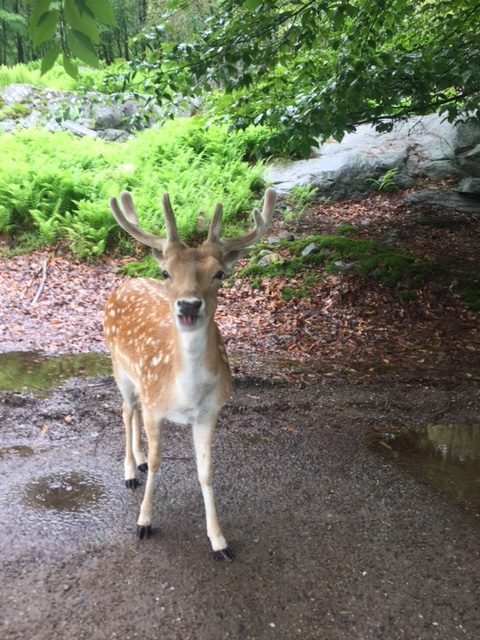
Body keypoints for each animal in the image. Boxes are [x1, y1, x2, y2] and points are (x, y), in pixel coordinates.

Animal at [104, 186, 278, 560]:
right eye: (167, 272)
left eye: (219, 274)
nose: (188, 304)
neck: (186, 395)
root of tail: (125, 283)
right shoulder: (156, 407)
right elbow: (159, 462)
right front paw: (144, 521)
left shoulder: (209, 413)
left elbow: (206, 471)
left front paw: (219, 540)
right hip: (118, 366)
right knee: (126, 409)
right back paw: (130, 470)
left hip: (139, 381)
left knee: (133, 409)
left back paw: (137, 461)